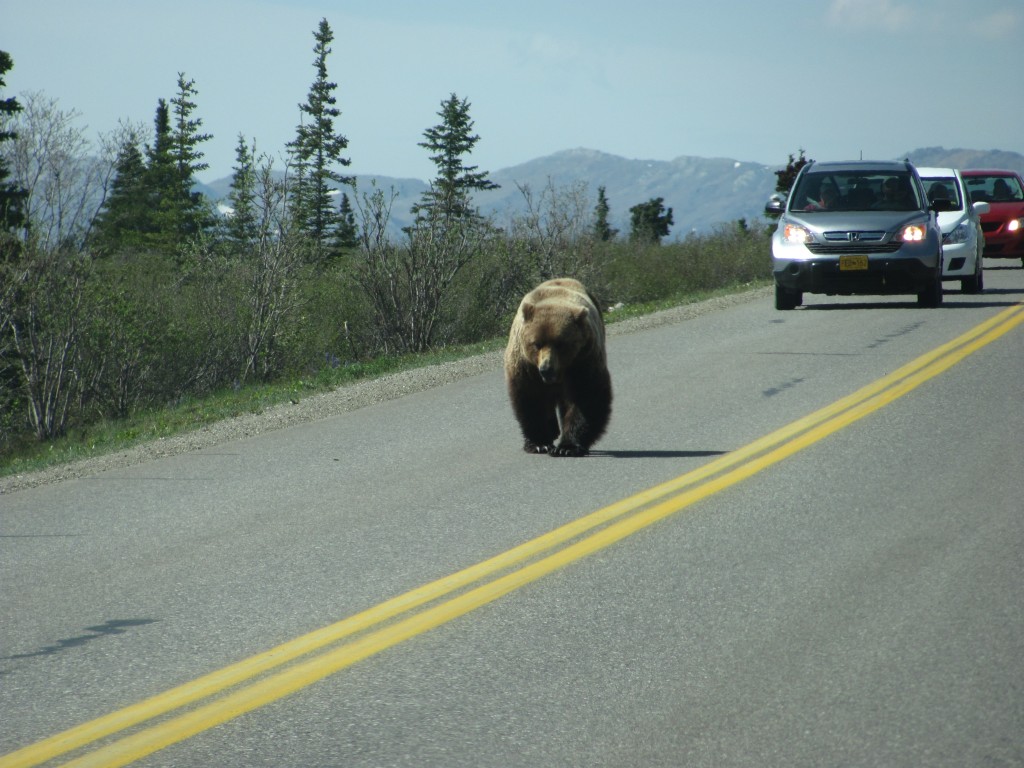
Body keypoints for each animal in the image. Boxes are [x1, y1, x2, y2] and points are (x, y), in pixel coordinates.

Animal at [501, 278, 610, 454]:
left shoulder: (583, 359)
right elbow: (530, 398)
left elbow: (586, 395)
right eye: (536, 344)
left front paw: (567, 446)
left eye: (560, 344)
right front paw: (539, 443)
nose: (546, 369)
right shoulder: (526, 366)